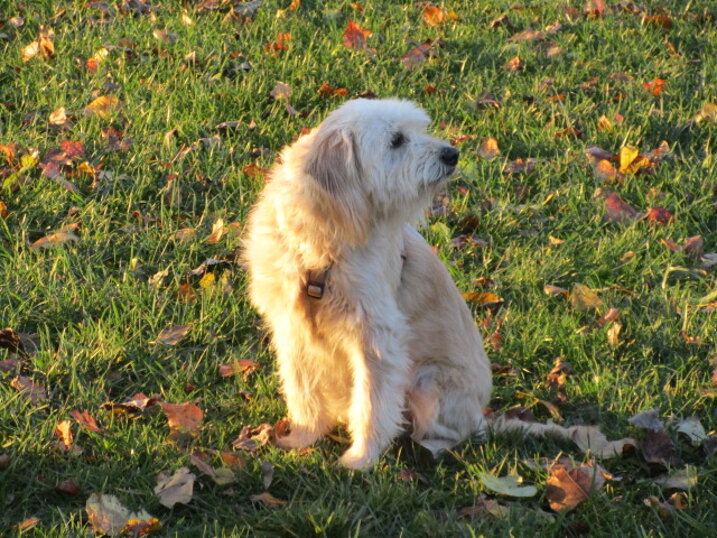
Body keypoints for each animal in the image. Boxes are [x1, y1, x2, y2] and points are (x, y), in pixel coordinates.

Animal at [243, 98, 494, 469]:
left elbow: (373, 405)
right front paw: (303, 438)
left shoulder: (376, 338)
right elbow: (302, 389)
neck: (324, 241)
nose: (452, 154)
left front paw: (360, 460)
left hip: (428, 384)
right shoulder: (292, 328)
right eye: (397, 140)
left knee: (454, 434)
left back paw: (428, 449)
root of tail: (482, 414)